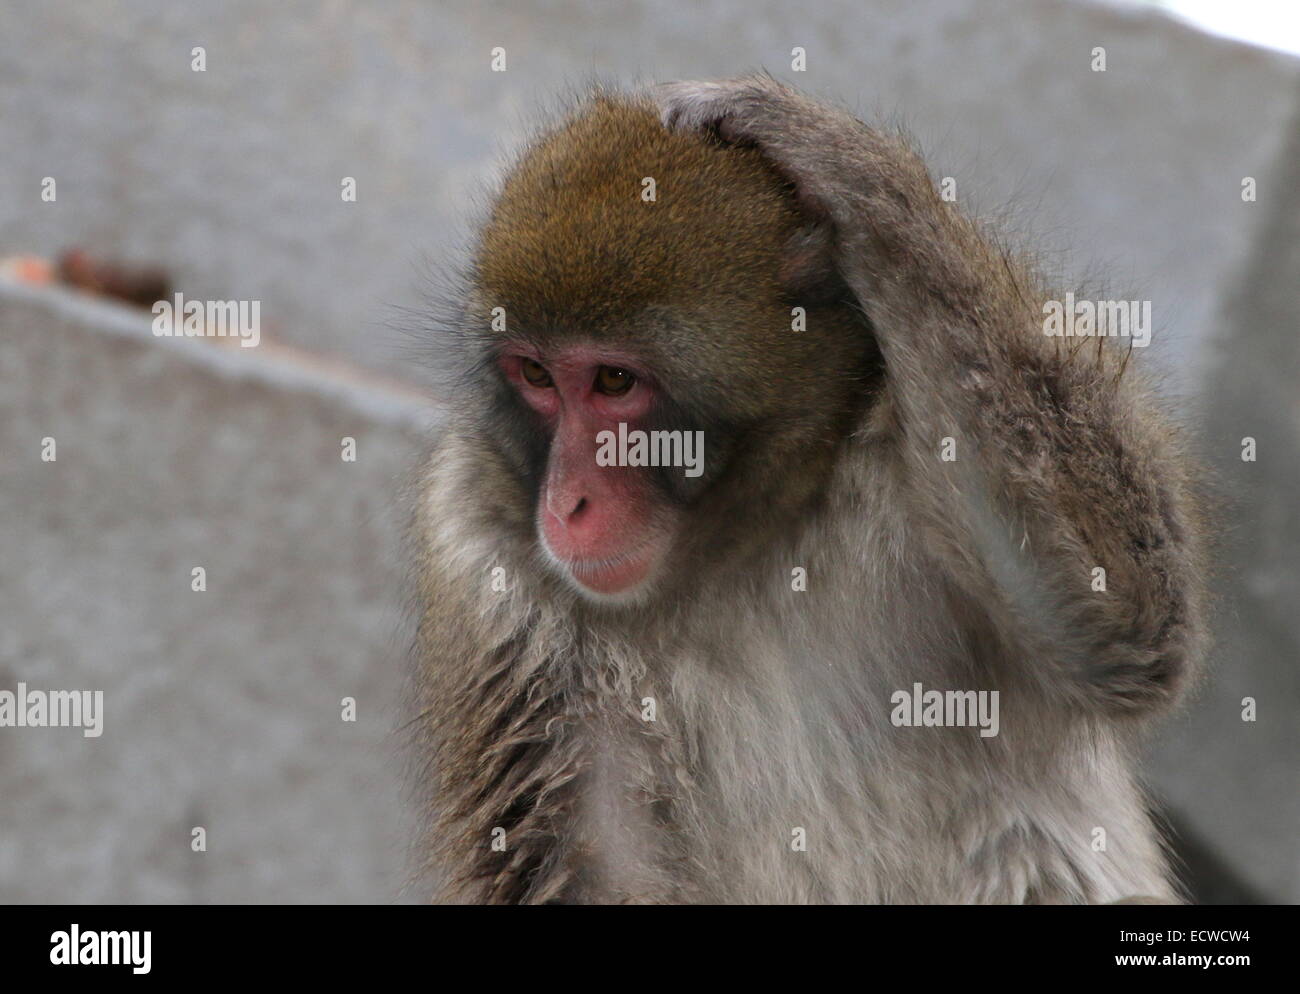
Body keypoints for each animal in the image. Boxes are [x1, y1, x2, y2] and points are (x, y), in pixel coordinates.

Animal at [407, 75, 1207, 904]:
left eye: (615, 382)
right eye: (535, 375)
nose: (566, 504)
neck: (739, 550)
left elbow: (1124, 638)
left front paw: (853, 169)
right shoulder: (481, 557)